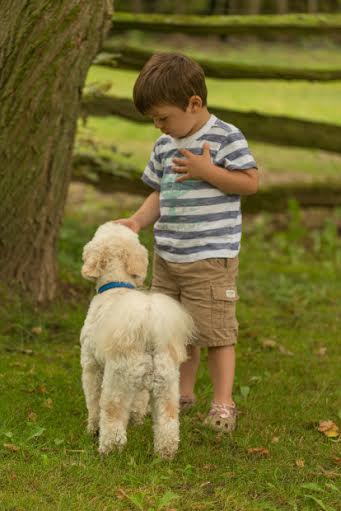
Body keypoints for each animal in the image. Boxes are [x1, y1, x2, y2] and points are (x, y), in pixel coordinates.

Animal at [79, 223, 194, 460]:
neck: (116, 285)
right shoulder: (141, 389)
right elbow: (139, 404)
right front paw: (137, 421)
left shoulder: (91, 366)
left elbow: (92, 401)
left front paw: (92, 428)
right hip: (167, 386)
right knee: (168, 423)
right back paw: (165, 454)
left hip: (117, 383)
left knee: (112, 419)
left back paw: (108, 451)